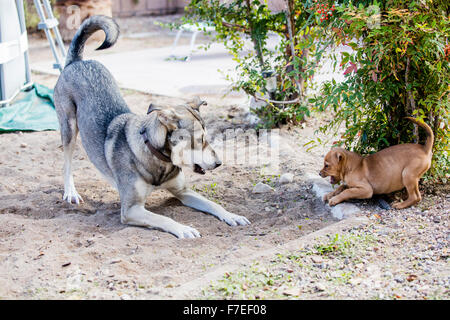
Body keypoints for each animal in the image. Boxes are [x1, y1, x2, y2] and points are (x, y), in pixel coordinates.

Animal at [53, 16, 250, 239]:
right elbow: (164, 218)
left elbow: (214, 204)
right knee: (66, 163)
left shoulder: (184, 192)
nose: (219, 163)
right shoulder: (131, 209)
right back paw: (71, 192)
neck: (158, 157)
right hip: (69, 129)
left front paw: (232, 215)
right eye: (199, 140)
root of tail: (77, 62)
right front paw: (184, 229)